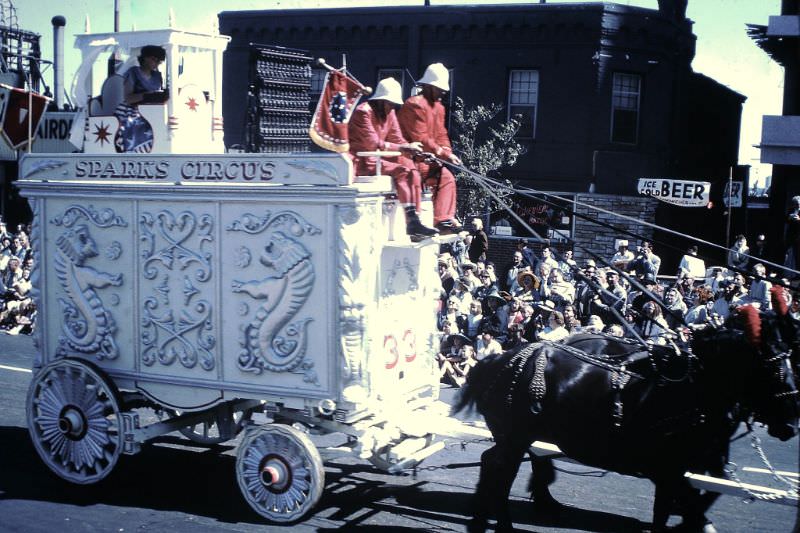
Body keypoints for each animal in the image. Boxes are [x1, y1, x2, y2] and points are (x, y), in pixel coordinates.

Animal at [456, 306, 800, 528]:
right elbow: (671, 508)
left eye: (792, 358)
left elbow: (703, 497)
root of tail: (500, 358)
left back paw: (488, 511)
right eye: (771, 364)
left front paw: (697, 521)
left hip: (516, 436)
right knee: (502, 472)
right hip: (515, 437)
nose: (791, 423)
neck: (693, 388)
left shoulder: (702, 462)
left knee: (494, 463)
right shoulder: (668, 470)